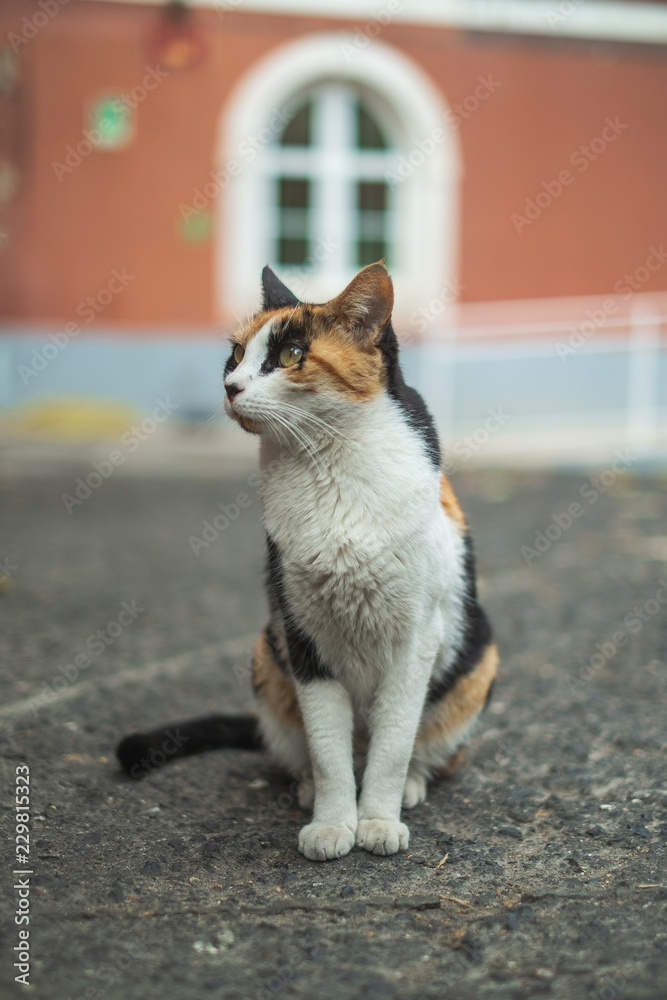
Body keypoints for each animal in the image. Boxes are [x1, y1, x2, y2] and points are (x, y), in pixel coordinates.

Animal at [117, 264, 498, 860]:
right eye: (235, 354)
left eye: (293, 354)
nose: (230, 386)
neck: (328, 465)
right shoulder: (302, 638)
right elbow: (326, 748)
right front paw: (332, 824)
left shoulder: (417, 639)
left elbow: (393, 744)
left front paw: (378, 821)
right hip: (265, 651)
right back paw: (307, 789)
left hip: (478, 663)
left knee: (421, 750)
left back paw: (411, 786)